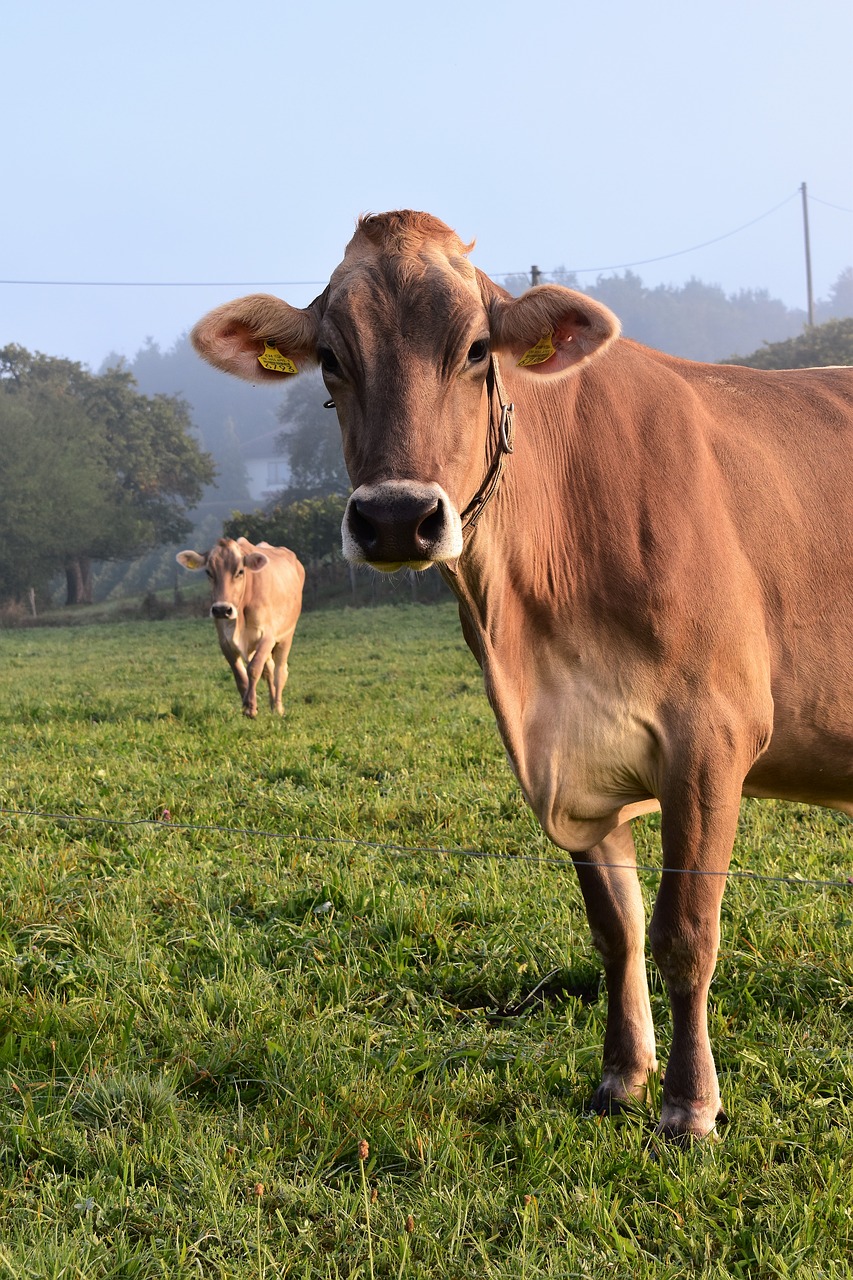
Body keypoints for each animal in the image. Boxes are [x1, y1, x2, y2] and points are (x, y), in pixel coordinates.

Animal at [175, 537, 302, 721]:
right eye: (208, 572)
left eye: (240, 571)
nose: (221, 609)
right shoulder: (224, 641)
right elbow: (240, 675)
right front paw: (247, 706)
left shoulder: (267, 636)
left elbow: (254, 669)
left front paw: (251, 708)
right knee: (270, 670)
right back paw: (272, 704)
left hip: (286, 635)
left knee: (280, 671)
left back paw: (278, 707)